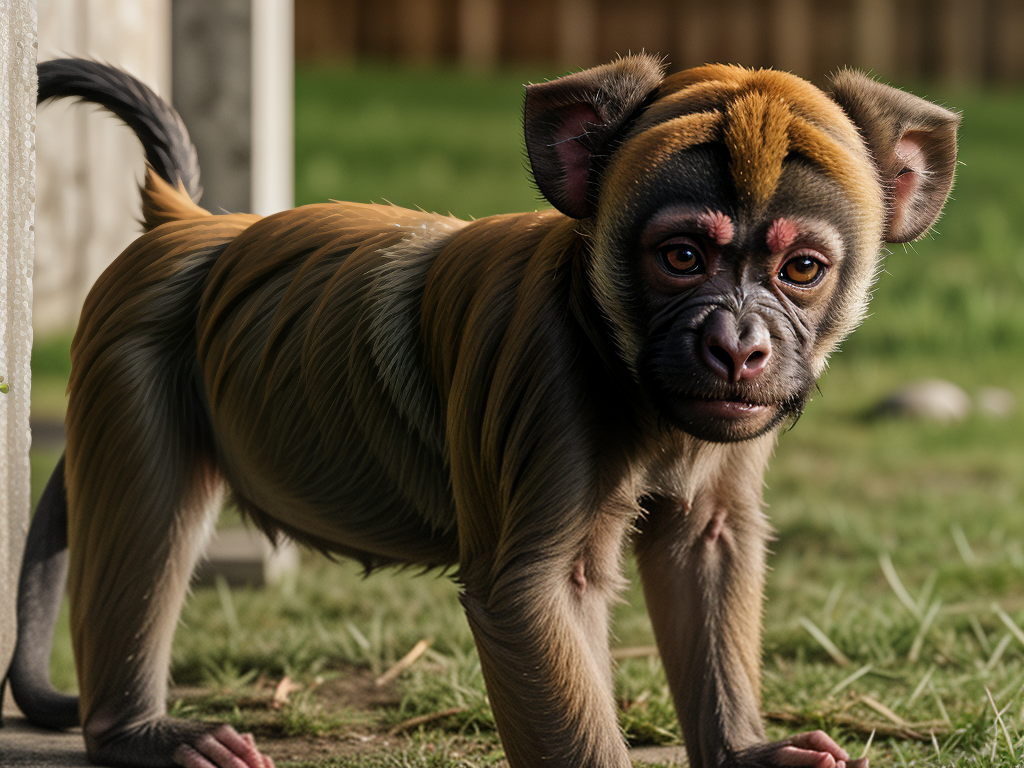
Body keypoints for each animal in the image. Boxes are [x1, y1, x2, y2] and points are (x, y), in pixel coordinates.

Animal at [3, 55, 958, 768]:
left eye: (800, 270)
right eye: (684, 257)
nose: (738, 345)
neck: (614, 354)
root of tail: (189, 227)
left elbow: (705, 543)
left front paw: (742, 751)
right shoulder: (542, 375)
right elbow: (528, 593)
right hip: (128, 354)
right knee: (149, 510)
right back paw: (132, 731)